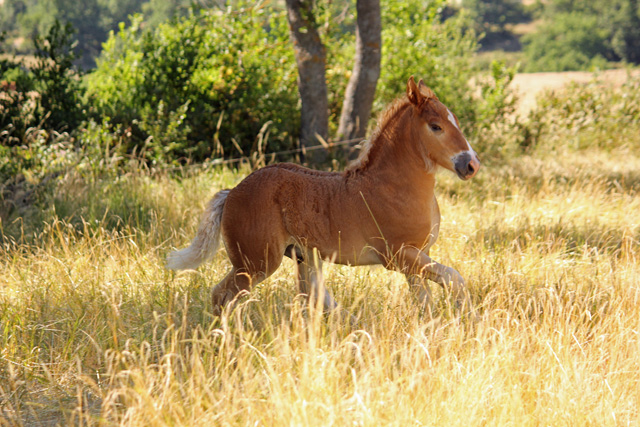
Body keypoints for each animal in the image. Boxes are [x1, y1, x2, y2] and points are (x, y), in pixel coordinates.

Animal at [168, 77, 478, 314]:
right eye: (436, 126)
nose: (471, 164)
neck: (393, 186)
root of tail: (231, 192)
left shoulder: (417, 257)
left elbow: (426, 301)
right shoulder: (398, 256)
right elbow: (455, 279)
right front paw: (467, 319)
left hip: (303, 258)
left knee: (314, 299)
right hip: (256, 263)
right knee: (222, 295)